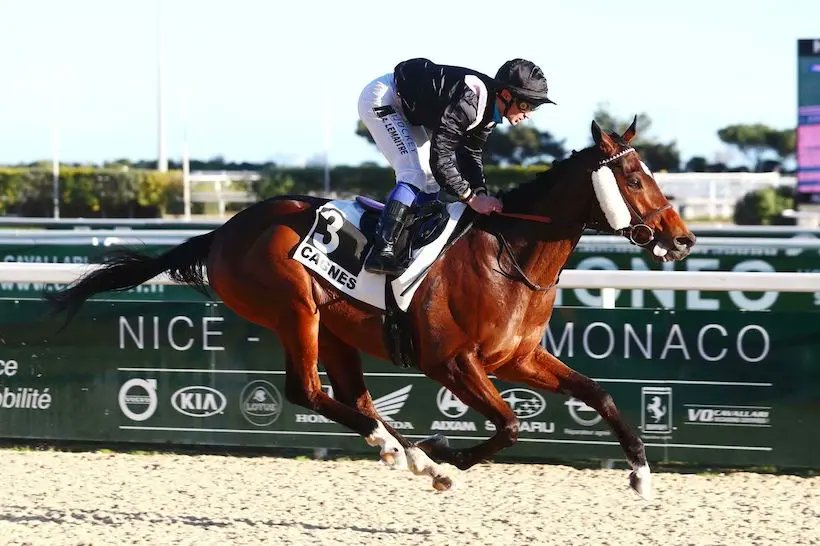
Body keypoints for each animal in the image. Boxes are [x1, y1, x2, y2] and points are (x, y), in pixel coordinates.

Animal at [46, 118, 692, 498]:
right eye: (635, 178)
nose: (683, 240)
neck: (507, 255)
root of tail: (224, 230)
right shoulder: (450, 362)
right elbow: (509, 425)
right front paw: (447, 461)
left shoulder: (517, 358)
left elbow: (598, 393)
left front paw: (640, 472)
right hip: (295, 312)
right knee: (307, 391)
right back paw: (405, 452)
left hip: (334, 329)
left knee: (352, 398)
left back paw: (407, 451)